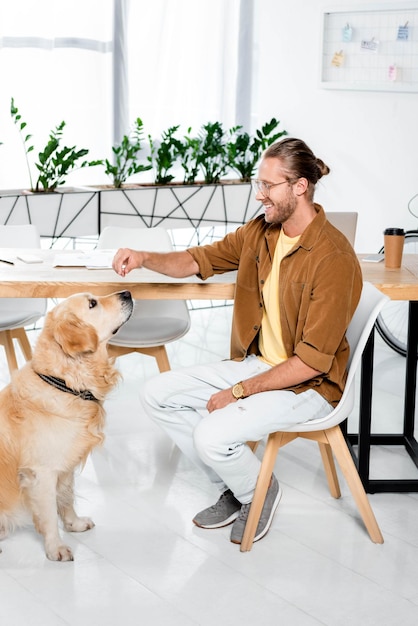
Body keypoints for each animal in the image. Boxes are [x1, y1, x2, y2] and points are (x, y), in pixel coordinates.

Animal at [0, 290, 132, 560]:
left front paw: (74, 523)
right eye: (93, 303)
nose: (128, 292)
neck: (66, 383)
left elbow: (67, 497)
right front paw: (55, 548)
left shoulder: (66, 463)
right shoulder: (42, 472)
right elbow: (50, 512)